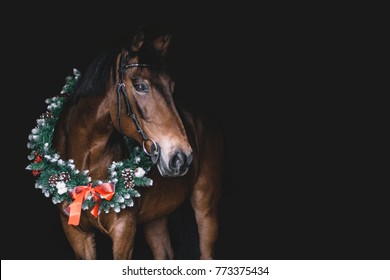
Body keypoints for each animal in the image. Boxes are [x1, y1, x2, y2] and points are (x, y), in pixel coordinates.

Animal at [26, 25, 222, 260]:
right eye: (140, 86)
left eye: (171, 86)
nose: (181, 157)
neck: (86, 164)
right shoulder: (77, 235)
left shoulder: (123, 232)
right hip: (155, 219)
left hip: (205, 207)